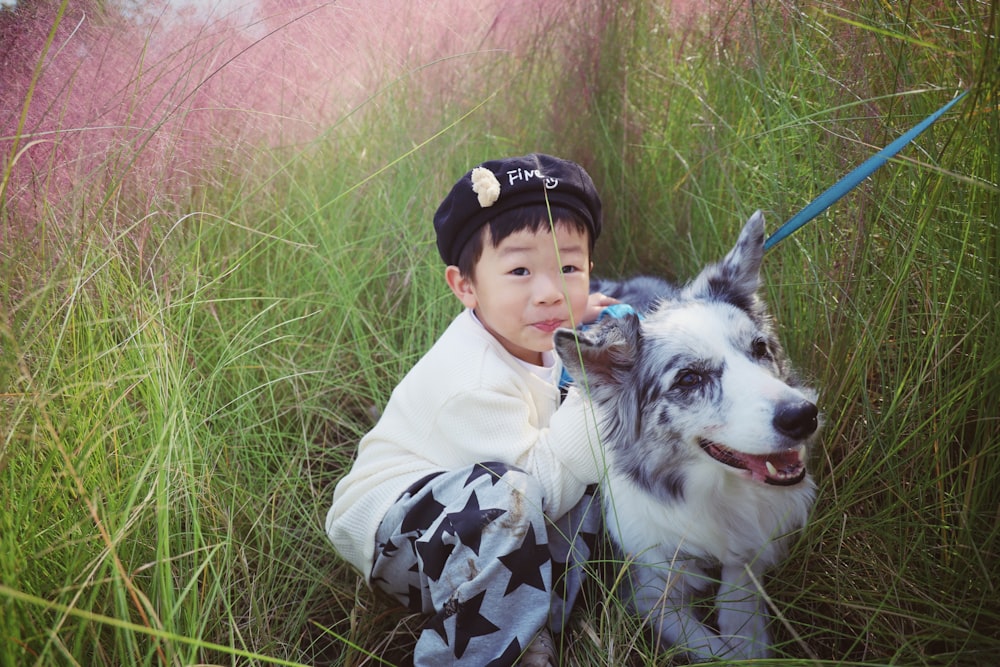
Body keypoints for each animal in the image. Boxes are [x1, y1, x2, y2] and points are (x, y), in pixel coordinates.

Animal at [556, 211, 820, 660]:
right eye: (689, 378)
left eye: (760, 348)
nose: (804, 417)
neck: (713, 493)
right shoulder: (647, 594)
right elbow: (715, 652)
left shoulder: (753, 539)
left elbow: (742, 596)